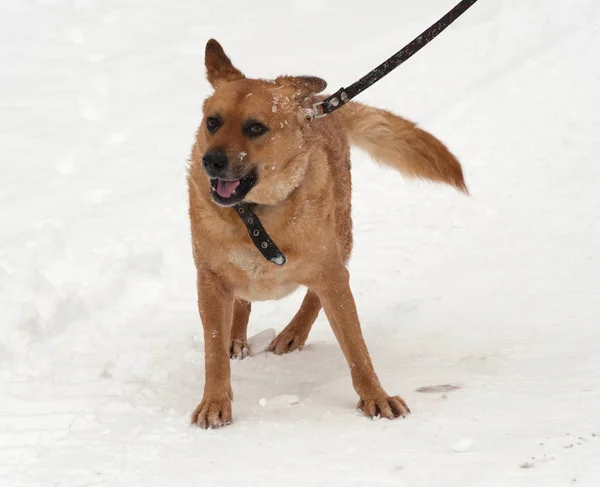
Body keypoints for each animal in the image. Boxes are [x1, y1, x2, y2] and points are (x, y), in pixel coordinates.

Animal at [185, 39, 466, 430]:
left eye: (255, 128)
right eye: (213, 121)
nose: (210, 161)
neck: (257, 216)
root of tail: (320, 103)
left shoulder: (331, 273)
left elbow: (356, 347)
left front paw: (375, 397)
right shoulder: (209, 279)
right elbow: (213, 351)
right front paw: (214, 401)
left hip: (340, 236)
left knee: (316, 294)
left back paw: (293, 333)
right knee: (243, 302)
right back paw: (237, 336)